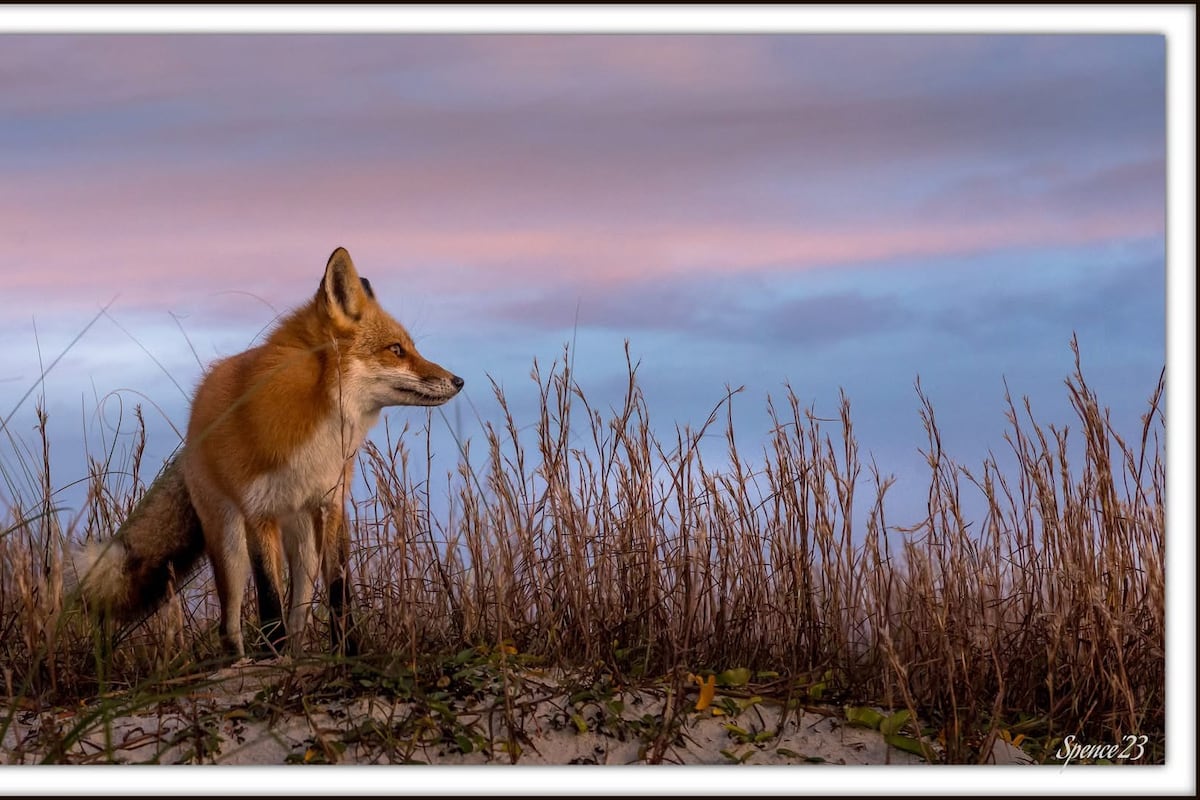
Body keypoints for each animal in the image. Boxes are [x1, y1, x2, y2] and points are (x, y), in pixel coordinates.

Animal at [72, 246, 463, 658]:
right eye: (396, 350)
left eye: (410, 348)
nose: (459, 381)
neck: (314, 428)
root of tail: (193, 431)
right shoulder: (257, 514)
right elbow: (269, 600)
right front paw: (273, 655)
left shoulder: (332, 504)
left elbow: (339, 593)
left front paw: (349, 650)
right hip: (230, 544)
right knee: (229, 624)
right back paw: (247, 658)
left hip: (305, 548)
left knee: (300, 613)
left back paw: (296, 653)